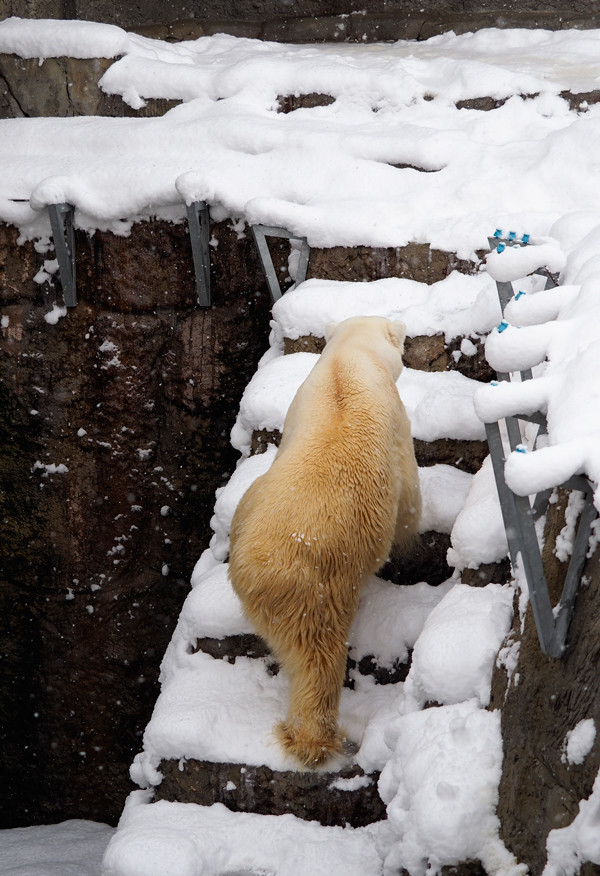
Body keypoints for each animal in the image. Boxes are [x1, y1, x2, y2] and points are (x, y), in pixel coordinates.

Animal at [227, 314, 420, 768]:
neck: (346, 363)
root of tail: (252, 569)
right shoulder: (396, 423)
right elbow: (408, 495)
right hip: (316, 584)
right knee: (319, 659)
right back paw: (315, 741)